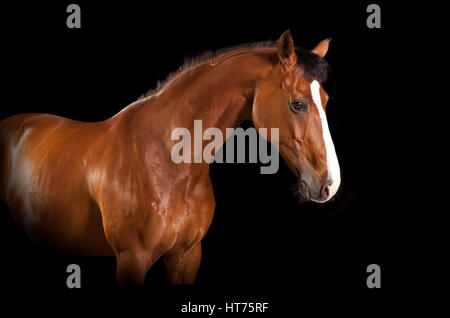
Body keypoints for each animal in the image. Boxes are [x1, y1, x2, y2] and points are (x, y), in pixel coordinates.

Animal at [0, 31, 340, 284]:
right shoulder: (132, 259)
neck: (169, 162)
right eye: (298, 104)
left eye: (325, 100)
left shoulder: (186, 256)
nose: (330, 184)